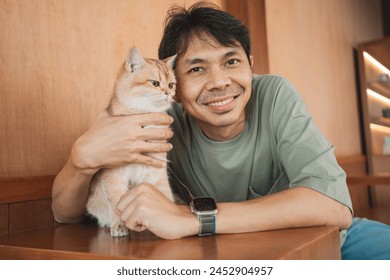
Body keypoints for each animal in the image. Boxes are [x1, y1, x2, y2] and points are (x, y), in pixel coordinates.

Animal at [87, 47, 177, 237]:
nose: (168, 93)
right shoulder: (114, 175)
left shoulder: (156, 169)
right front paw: (119, 224)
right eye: (155, 83)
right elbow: (117, 202)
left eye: (171, 85)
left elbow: (163, 192)